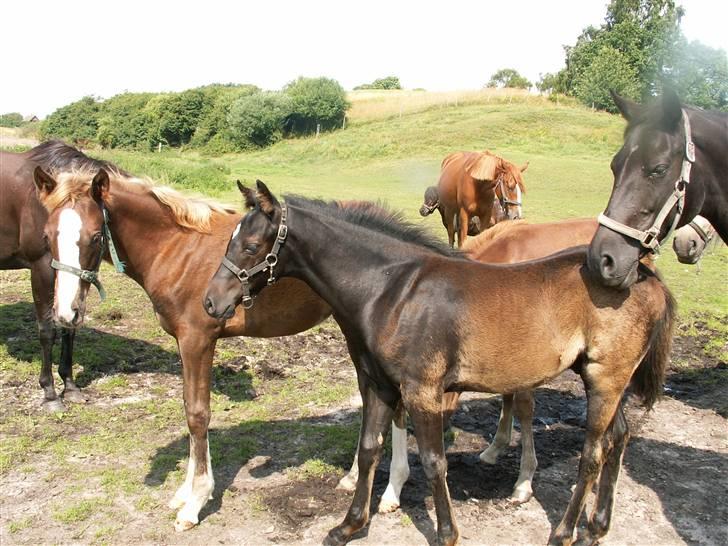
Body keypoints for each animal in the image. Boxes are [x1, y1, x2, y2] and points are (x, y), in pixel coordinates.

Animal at [27, 146, 332, 532]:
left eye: (96, 236)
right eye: (47, 236)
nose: (66, 313)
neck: (176, 249)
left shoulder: (198, 339)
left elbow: (198, 414)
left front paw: (196, 502)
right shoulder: (183, 342)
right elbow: (188, 406)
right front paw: (184, 493)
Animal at [202, 182, 672, 544]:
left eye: (250, 245)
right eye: (230, 240)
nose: (211, 302)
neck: (392, 291)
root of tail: (645, 275)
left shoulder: (422, 392)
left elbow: (433, 461)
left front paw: (447, 533)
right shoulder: (379, 386)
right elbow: (369, 449)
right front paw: (348, 526)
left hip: (606, 379)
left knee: (592, 453)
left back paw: (563, 532)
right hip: (605, 382)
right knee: (618, 438)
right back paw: (597, 527)